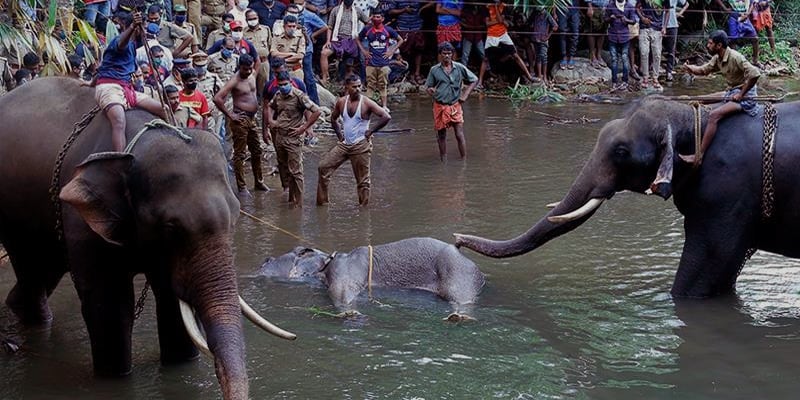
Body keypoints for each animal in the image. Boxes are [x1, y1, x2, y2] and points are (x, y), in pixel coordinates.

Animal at [0, 78, 293, 400]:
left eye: (237, 216)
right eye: (170, 227)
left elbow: (171, 300)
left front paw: (180, 365)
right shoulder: (81, 219)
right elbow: (111, 306)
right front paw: (115, 378)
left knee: (42, 272)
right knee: (32, 269)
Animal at [258, 237, 486, 319]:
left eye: (298, 252)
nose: (264, 260)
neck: (326, 263)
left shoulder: (344, 273)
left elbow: (342, 293)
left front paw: (350, 313)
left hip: (458, 275)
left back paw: (458, 317)